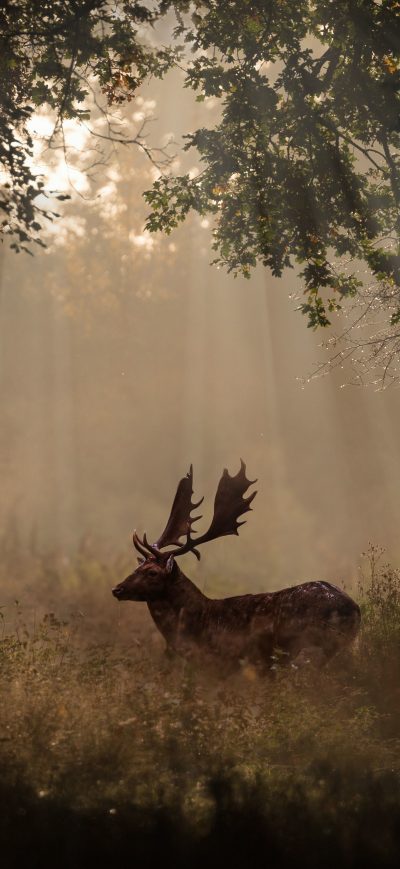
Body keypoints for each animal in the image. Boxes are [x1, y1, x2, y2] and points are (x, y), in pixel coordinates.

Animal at [112, 461, 361, 673]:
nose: (117, 589)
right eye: (138, 567)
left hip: (309, 647)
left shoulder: (226, 663)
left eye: (152, 572)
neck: (199, 624)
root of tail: (355, 610)